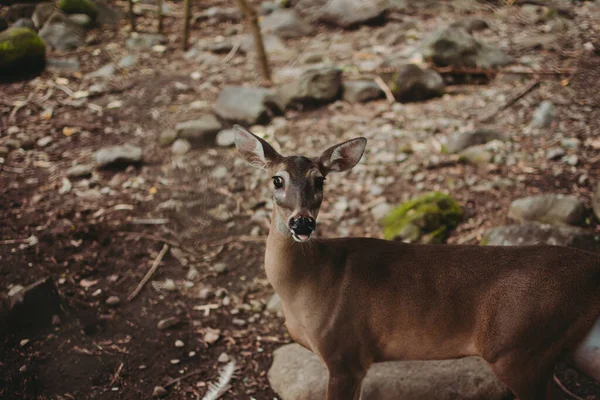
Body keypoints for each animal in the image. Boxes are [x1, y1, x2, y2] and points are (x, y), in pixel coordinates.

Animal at [232, 125, 600, 400]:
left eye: (319, 180)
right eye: (277, 179)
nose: (302, 223)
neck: (307, 286)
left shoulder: (345, 354)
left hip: (519, 347)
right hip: (568, 348)